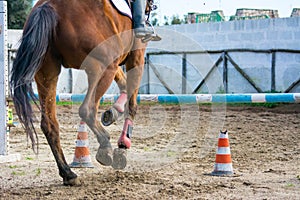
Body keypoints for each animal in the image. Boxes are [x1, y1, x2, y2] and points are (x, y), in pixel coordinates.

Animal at [10, 0, 151, 185]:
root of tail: (49, 6)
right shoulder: (136, 55)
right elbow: (132, 104)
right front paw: (123, 145)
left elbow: (124, 85)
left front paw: (114, 112)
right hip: (103, 65)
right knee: (87, 110)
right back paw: (105, 148)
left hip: (47, 72)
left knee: (50, 124)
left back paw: (68, 173)